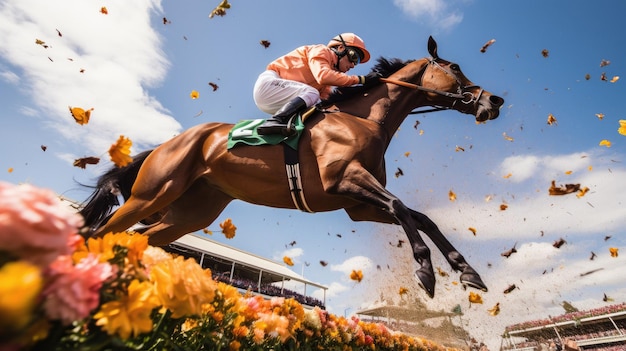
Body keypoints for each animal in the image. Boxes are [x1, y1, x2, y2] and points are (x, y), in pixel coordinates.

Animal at [81, 37, 502, 298]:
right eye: (455, 67)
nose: (493, 101)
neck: (363, 119)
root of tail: (169, 142)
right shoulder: (344, 181)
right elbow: (401, 207)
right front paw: (426, 272)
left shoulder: (358, 205)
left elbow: (421, 217)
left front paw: (468, 272)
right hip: (152, 193)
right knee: (100, 233)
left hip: (190, 212)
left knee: (136, 238)